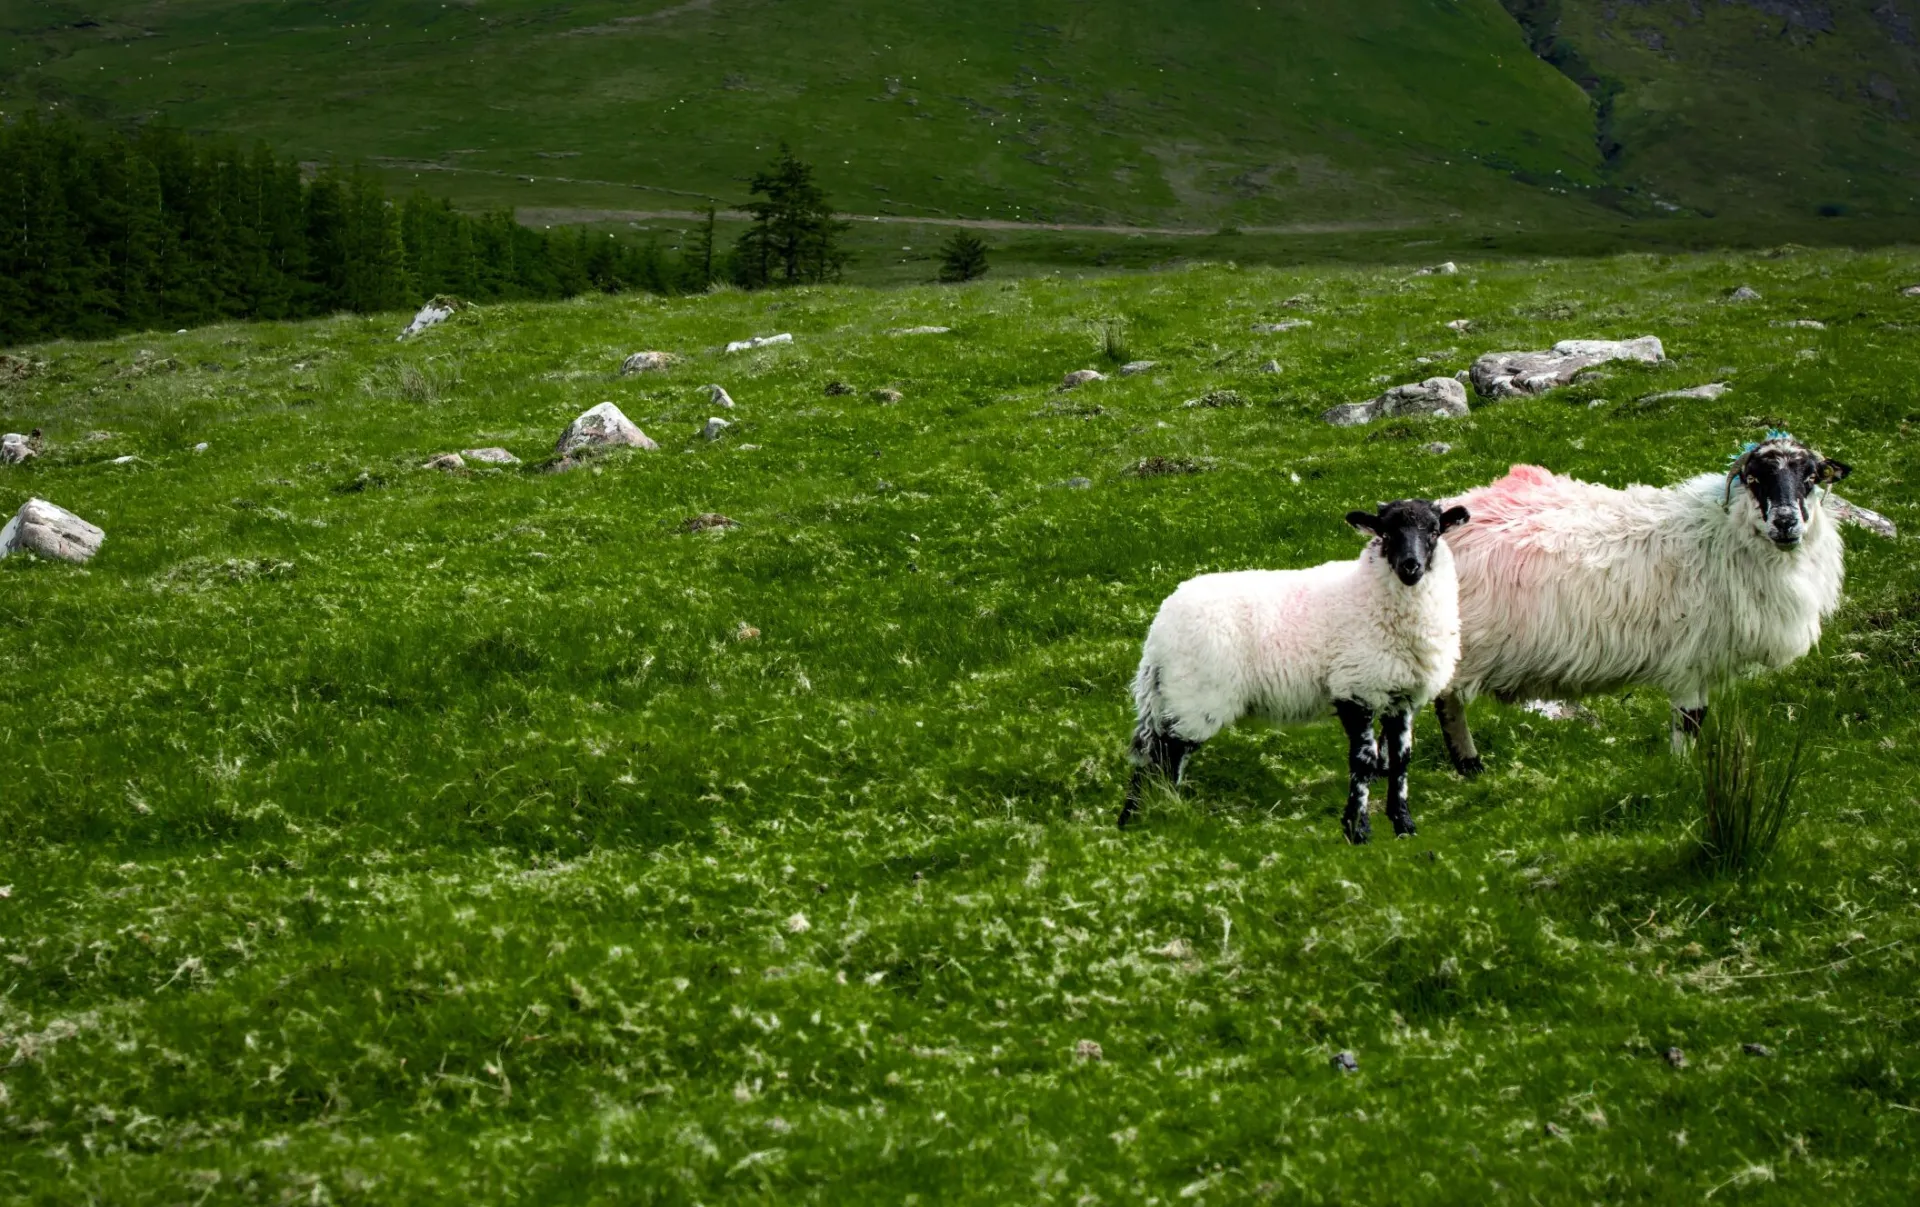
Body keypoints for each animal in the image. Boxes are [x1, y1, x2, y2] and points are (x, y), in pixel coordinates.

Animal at [1120, 499, 1472, 843]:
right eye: (1386, 533)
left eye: (1434, 531)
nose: (1410, 566)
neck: (1370, 592)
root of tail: (1159, 630)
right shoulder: (1354, 689)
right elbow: (1364, 763)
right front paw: (1357, 830)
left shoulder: (1401, 697)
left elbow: (1400, 761)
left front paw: (1404, 826)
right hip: (1194, 696)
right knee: (1166, 756)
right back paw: (1161, 813)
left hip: (1172, 697)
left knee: (1153, 756)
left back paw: (1137, 818)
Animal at [1430, 432, 1851, 774]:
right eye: (1753, 480)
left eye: (1810, 478)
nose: (1785, 522)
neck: (1719, 534)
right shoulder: (1691, 655)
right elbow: (1688, 720)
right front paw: (1682, 773)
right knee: (1444, 703)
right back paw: (1464, 765)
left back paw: (1469, 767)